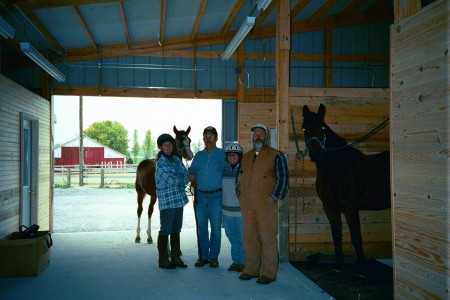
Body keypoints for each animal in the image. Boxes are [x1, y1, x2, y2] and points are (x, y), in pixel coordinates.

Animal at [300, 104, 392, 276]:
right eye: (304, 128)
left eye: (322, 128)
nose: (315, 154)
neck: (337, 168)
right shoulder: (330, 207)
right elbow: (336, 235)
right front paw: (338, 264)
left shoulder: (350, 208)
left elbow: (356, 237)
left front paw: (361, 268)